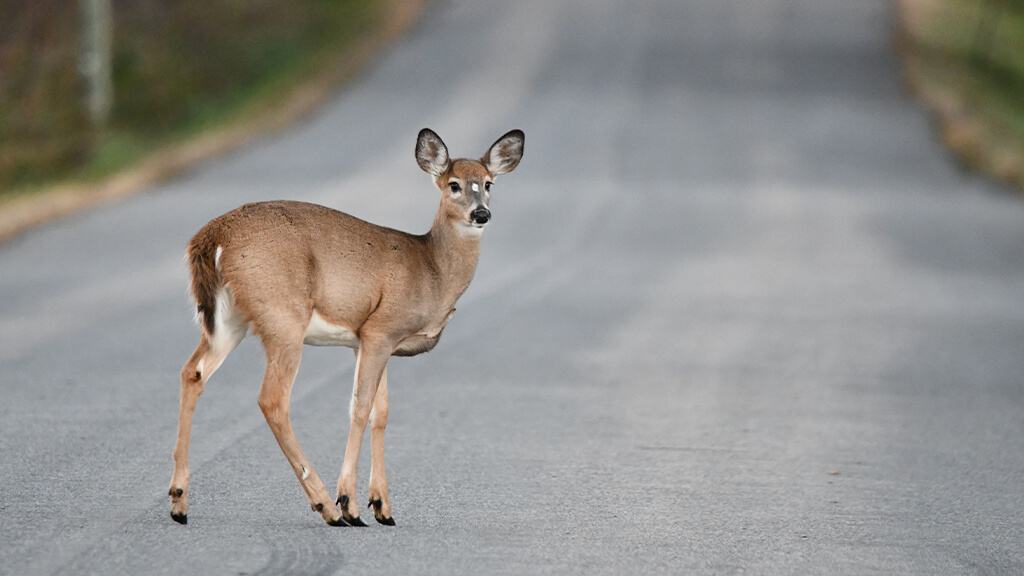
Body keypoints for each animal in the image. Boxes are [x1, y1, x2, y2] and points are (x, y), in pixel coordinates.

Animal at [167, 129, 524, 524]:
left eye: (489, 183)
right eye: (454, 185)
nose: (481, 213)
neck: (432, 272)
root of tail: (211, 236)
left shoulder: (367, 341)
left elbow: (381, 412)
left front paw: (382, 506)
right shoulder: (381, 327)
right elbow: (361, 406)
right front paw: (350, 503)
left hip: (230, 319)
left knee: (192, 372)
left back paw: (179, 501)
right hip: (283, 315)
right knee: (271, 399)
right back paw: (325, 504)